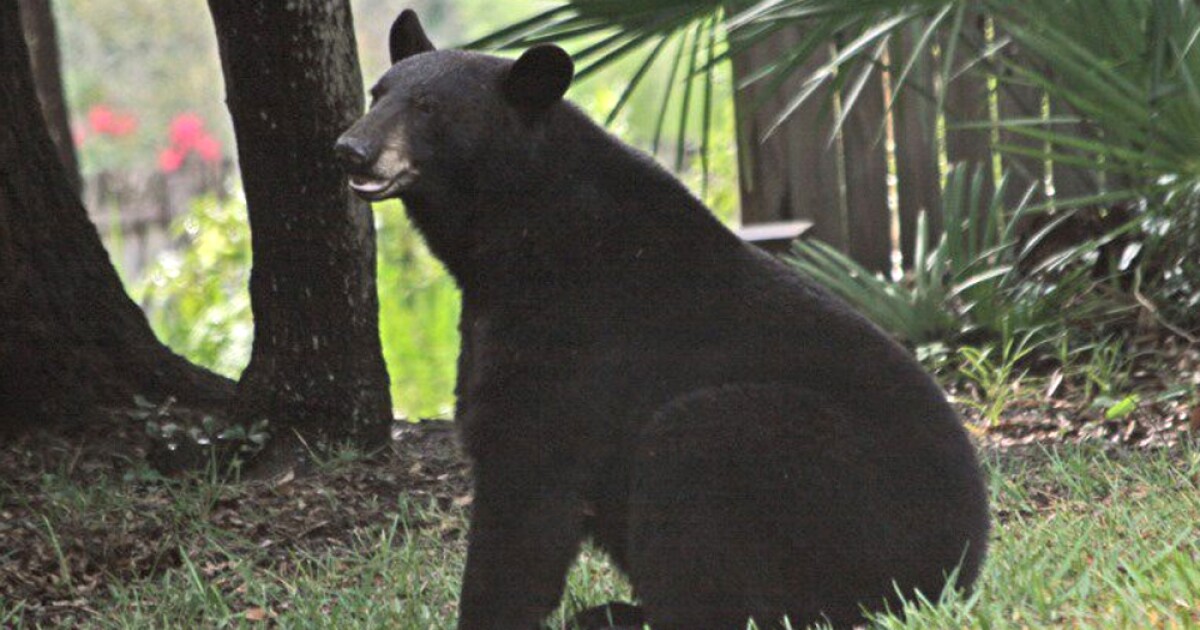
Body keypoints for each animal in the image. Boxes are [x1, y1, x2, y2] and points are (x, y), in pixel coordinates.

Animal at [335, 9, 990, 630]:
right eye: (376, 92)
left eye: (427, 107)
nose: (349, 148)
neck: (526, 231)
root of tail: (958, 570)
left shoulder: (576, 338)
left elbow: (530, 480)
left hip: (835, 493)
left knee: (697, 465)